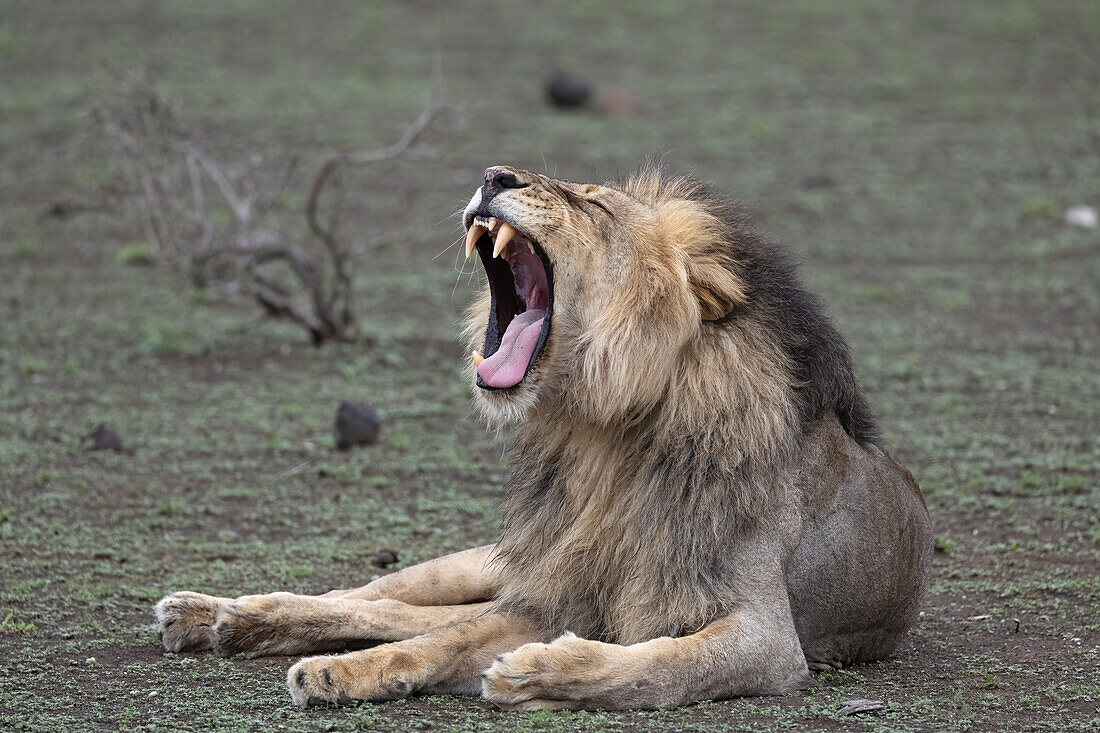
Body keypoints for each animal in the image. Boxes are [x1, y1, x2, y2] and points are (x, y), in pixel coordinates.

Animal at [152, 161, 928, 708]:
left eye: (595, 204)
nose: (495, 175)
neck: (606, 433)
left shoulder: (766, 636)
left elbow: (664, 665)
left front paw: (540, 672)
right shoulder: (553, 591)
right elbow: (442, 637)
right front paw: (338, 674)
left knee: (404, 612)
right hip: (488, 562)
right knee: (381, 597)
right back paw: (218, 614)